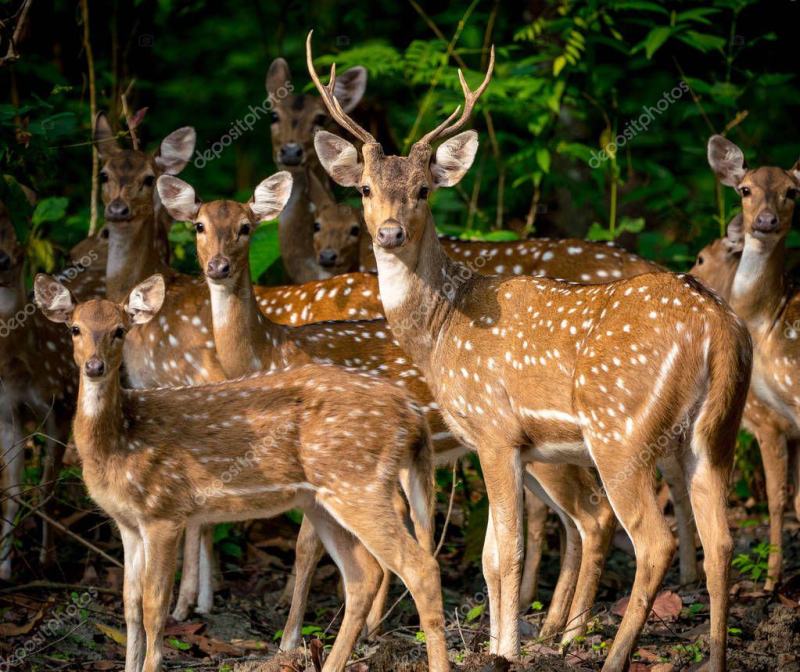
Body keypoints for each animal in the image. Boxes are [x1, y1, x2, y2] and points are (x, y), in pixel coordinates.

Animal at [34, 271, 450, 672]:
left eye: (120, 330)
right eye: (75, 328)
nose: (95, 367)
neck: (120, 440)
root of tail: (410, 412)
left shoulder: (164, 511)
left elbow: (154, 607)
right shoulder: (127, 523)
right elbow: (129, 605)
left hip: (358, 482)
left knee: (420, 567)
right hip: (325, 498)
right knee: (364, 575)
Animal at [157, 171, 618, 649]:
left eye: (246, 227)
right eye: (199, 226)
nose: (218, 267)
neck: (271, 353)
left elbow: (306, 548)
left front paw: (292, 638)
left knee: (592, 516)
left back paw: (568, 634)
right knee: (573, 519)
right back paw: (550, 626)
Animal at [308, 33, 753, 670]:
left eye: (423, 189)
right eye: (366, 189)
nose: (390, 233)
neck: (441, 329)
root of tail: (719, 327)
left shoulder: (495, 430)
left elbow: (510, 553)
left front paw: (508, 651)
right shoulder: (500, 444)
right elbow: (492, 556)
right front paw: (499, 643)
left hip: (622, 430)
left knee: (654, 540)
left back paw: (611, 655)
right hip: (715, 432)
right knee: (721, 541)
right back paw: (712, 656)